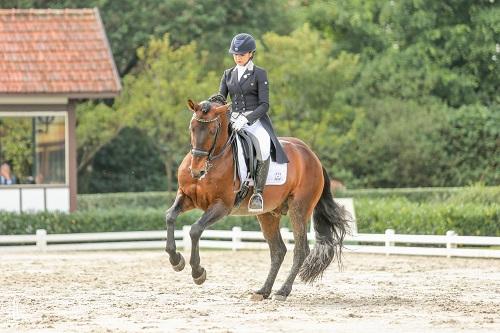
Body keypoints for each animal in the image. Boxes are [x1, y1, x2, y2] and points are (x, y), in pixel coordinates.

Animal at [164, 96, 348, 300]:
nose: (197, 171)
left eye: (212, 131)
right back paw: (263, 291)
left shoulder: (221, 206)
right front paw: (175, 260)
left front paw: (198, 272)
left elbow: (195, 229)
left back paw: (282, 291)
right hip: (268, 214)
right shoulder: (187, 197)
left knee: (301, 250)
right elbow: (170, 216)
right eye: (192, 127)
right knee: (278, 251)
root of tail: (312, 156)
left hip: (298, 209)